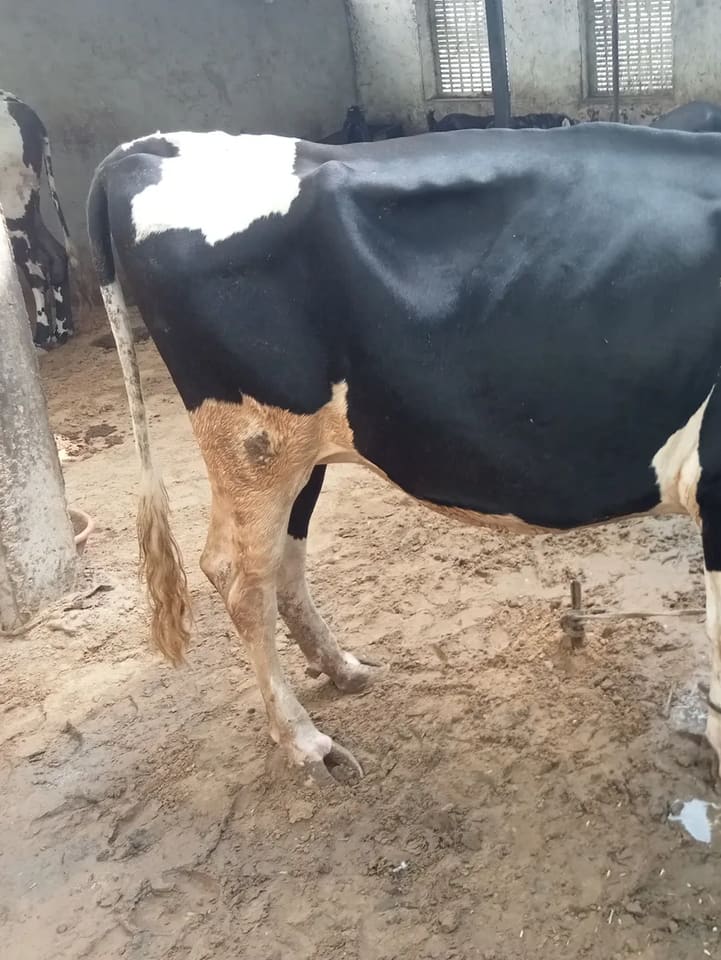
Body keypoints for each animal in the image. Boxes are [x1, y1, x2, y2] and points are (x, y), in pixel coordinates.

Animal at [0, 90, 77, 346]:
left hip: (13, 204)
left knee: (37, 265)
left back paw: (44, 336)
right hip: (28, 205)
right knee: (54, 254)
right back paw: (61, 330)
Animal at [88, 122, 721, 786]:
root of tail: (155, 145)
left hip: (288, 453)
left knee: (268, 563)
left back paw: (342, 670)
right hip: (256, 438)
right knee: (243, 584)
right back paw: (305, 741)